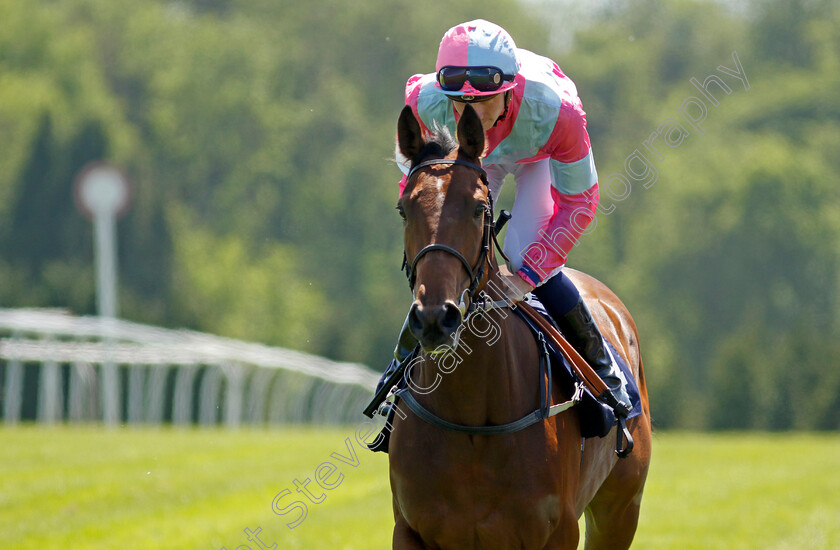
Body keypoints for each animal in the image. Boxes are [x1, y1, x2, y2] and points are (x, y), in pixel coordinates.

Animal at [388, 104, 656, 550]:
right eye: (403, 210)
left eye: (479, 208)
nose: (435, 318)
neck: (473, 416)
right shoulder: (409, 530)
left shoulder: (559, 531)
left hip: (621, 510)